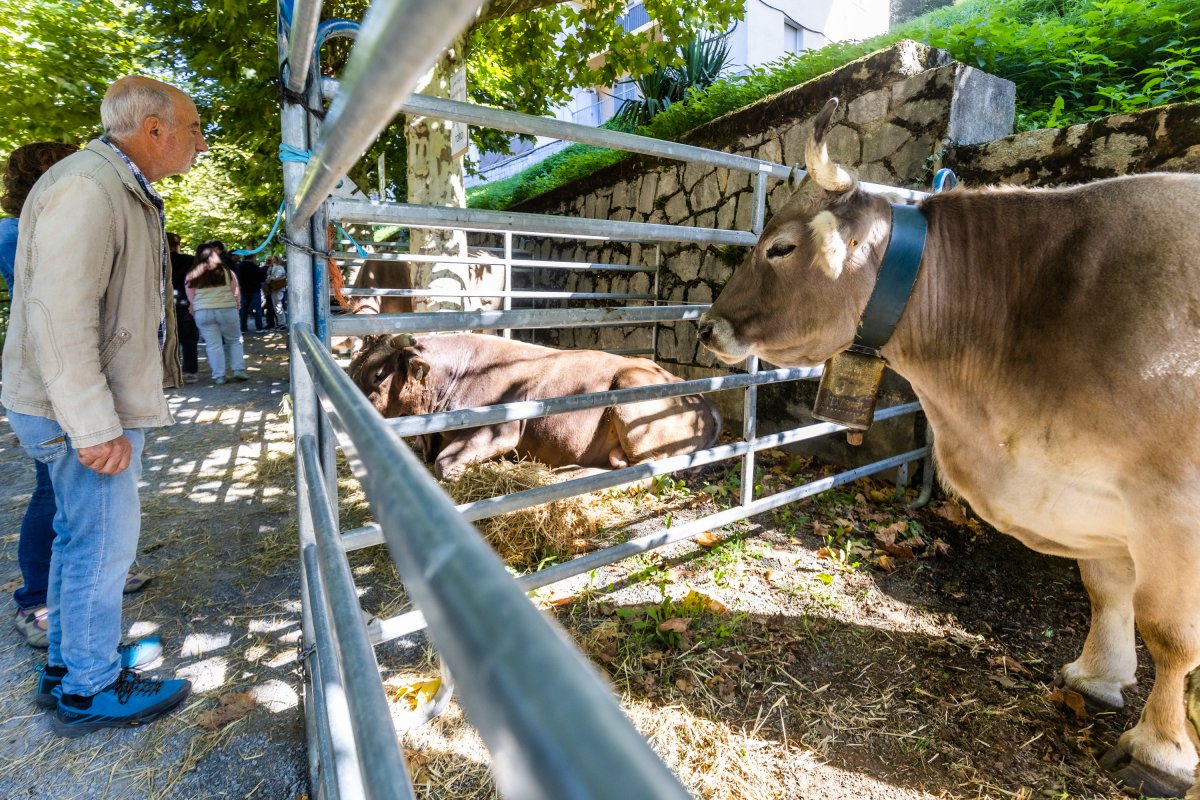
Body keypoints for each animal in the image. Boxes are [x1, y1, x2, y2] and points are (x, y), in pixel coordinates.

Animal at [349, 332, 723, 480]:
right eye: (353, 367)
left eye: (379, 375)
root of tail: (704, 401)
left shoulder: (501, 429)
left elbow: (445, 464)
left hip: (633, 396)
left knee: (642, 473)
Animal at [698, 97, 1200, 797]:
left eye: (781, 246)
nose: (705, 327)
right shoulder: (1090, 492)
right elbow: (1104, 588)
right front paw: (1097, 675)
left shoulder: (1168, 502)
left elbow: (1170, 632)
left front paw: (1160, 751)